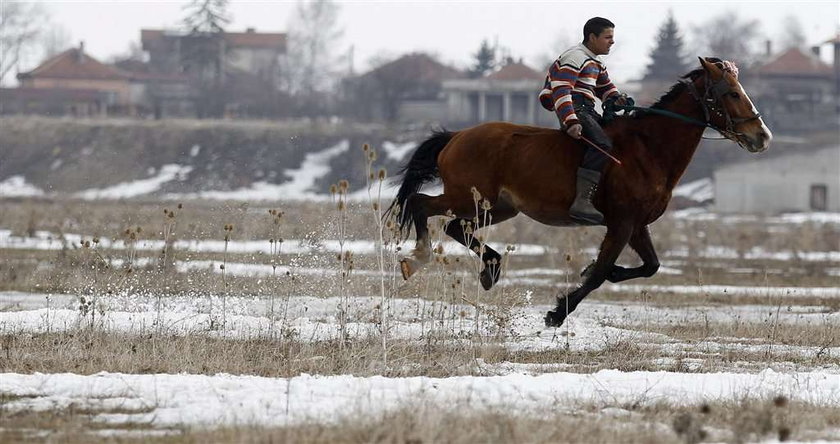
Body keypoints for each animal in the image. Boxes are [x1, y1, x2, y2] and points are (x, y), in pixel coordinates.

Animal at [384, 57, 772, 326]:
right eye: (732, 93)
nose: (762, 137)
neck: (648, 147)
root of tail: (457, 137)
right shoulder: (621, 222)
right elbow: (601, 273)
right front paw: (558, 312)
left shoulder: (636, 224)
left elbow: (650, 266)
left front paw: (595, 274)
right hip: (471, 197)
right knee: (421, 204)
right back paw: (417, 259)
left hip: (497, 207)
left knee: (455, 226)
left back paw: (490, 270)